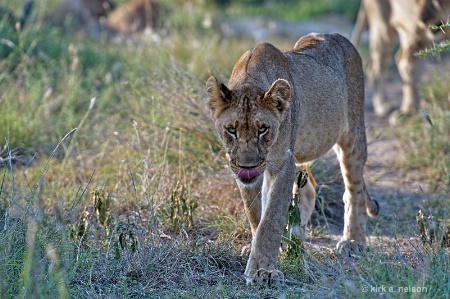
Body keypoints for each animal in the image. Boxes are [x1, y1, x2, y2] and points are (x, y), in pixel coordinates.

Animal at [207, 32, 380, 286]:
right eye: (231, 130)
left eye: (263, 129)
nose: (248, 166)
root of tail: (336, 36)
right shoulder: (253, 175)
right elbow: (256, 215)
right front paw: (262, 253)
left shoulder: (283, 165)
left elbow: (271, 218)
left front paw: (264, 271)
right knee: (309, 189)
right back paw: (296, 238)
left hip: (353, 135)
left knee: (353, 190)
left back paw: (353, 242)